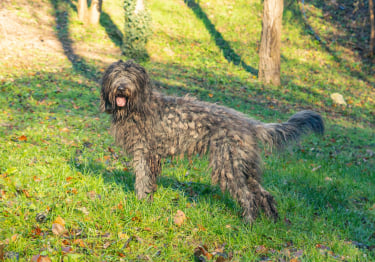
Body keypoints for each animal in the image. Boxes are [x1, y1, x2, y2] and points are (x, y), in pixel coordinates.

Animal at [101, 59, 324, 223]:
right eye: (116, 74)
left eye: (131, 76)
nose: (121, 88)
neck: (137, 107)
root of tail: (250, 124)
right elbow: (149, 180)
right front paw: (147, 200)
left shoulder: (143, 152)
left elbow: (142, 179)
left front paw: (140, 203)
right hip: (246, 166)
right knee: (262, 193)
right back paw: (272, 220)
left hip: (228, 164)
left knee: (247, 196)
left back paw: (248, 223)